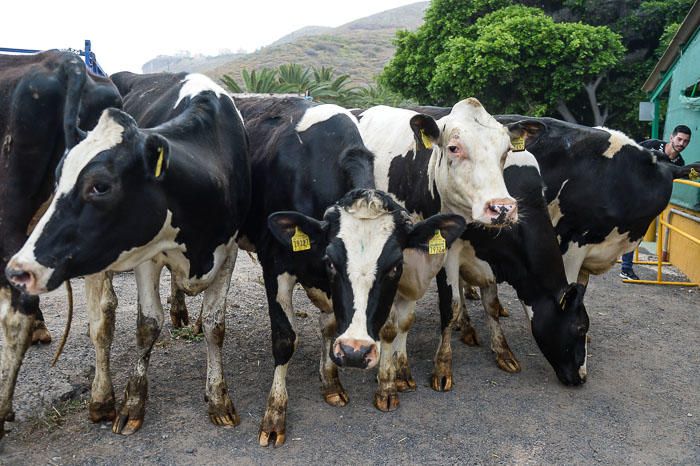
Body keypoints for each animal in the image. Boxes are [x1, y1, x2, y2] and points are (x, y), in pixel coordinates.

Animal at [6, 71, 252, 436]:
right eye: (57, 179)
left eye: (100, 186)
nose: (19, 270)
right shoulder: (146, 257)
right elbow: (148, 325)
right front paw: (133, 403)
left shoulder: (228, 250)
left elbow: (214, 325)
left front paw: (219, 399)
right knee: (102, 320)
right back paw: (101, 398)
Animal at [232, 96, 468, 446]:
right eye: (331, 261)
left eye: (395, 267)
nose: (355, 353)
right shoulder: (274, 264)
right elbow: (285, 339)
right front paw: (274, 416)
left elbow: (331, 325)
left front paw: (331, 382)